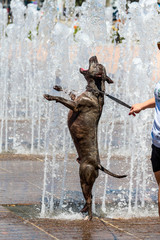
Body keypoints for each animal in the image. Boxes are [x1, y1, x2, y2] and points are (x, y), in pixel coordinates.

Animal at [43, 55, 126, 220]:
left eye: (96, 64)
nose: (94, 55)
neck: (95, 91)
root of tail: (98, 164)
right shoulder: (75, 97)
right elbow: (70, 91)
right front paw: (58, 87)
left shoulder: (75, 106)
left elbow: (62, 99)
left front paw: (50, 96)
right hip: (86, 181)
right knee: (90, 197)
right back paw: (83, 210)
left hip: (84, 179)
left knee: (89, 198)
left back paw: (89, 217)